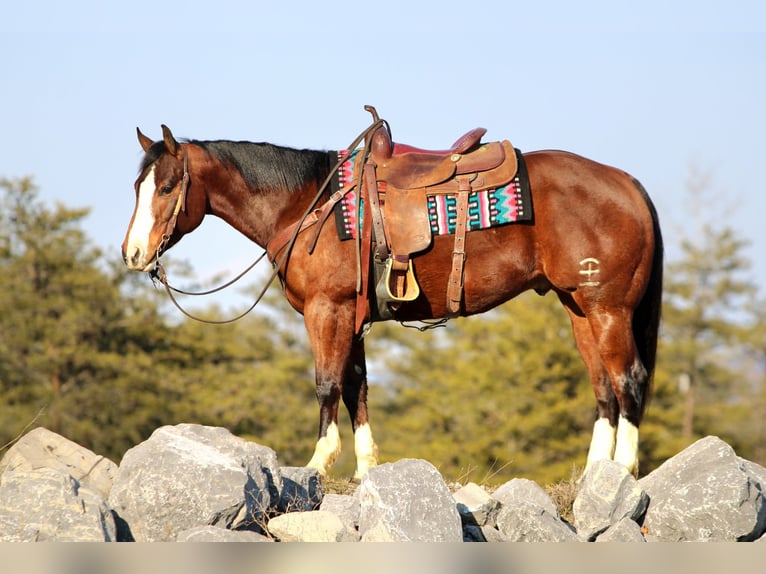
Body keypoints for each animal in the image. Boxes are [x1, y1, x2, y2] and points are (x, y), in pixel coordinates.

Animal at [121, 114, 663, 480]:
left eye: (167, 187)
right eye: (137, 186)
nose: (133, 254)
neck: (310, 205)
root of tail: (626, 183)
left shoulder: (328, 310)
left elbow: (327, 384)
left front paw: (319, 462)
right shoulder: (353, 317)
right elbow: (356, 387)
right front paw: (365, 469)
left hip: (608, 309)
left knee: (628, 379)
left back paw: (623, 470)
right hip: (580, 308)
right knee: (602, 386)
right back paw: (596, 472)